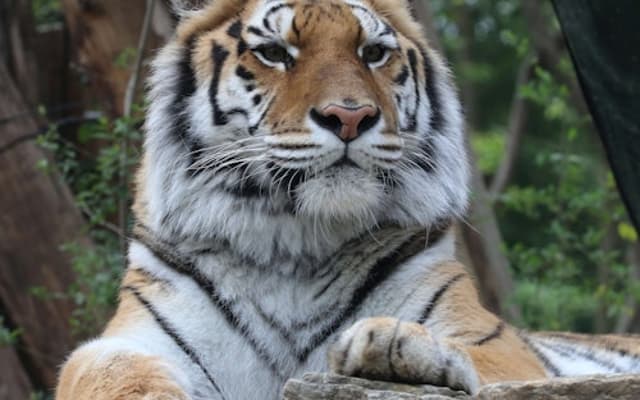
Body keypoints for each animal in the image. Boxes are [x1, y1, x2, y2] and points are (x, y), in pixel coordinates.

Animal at [55, 0, 640, 399]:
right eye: (275, 53)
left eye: (373, 53)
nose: (350, 117)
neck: (293, 243)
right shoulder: (130, 339)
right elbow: (114, 372)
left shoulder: (499, 344)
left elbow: (480, 360)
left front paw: (392, 344)